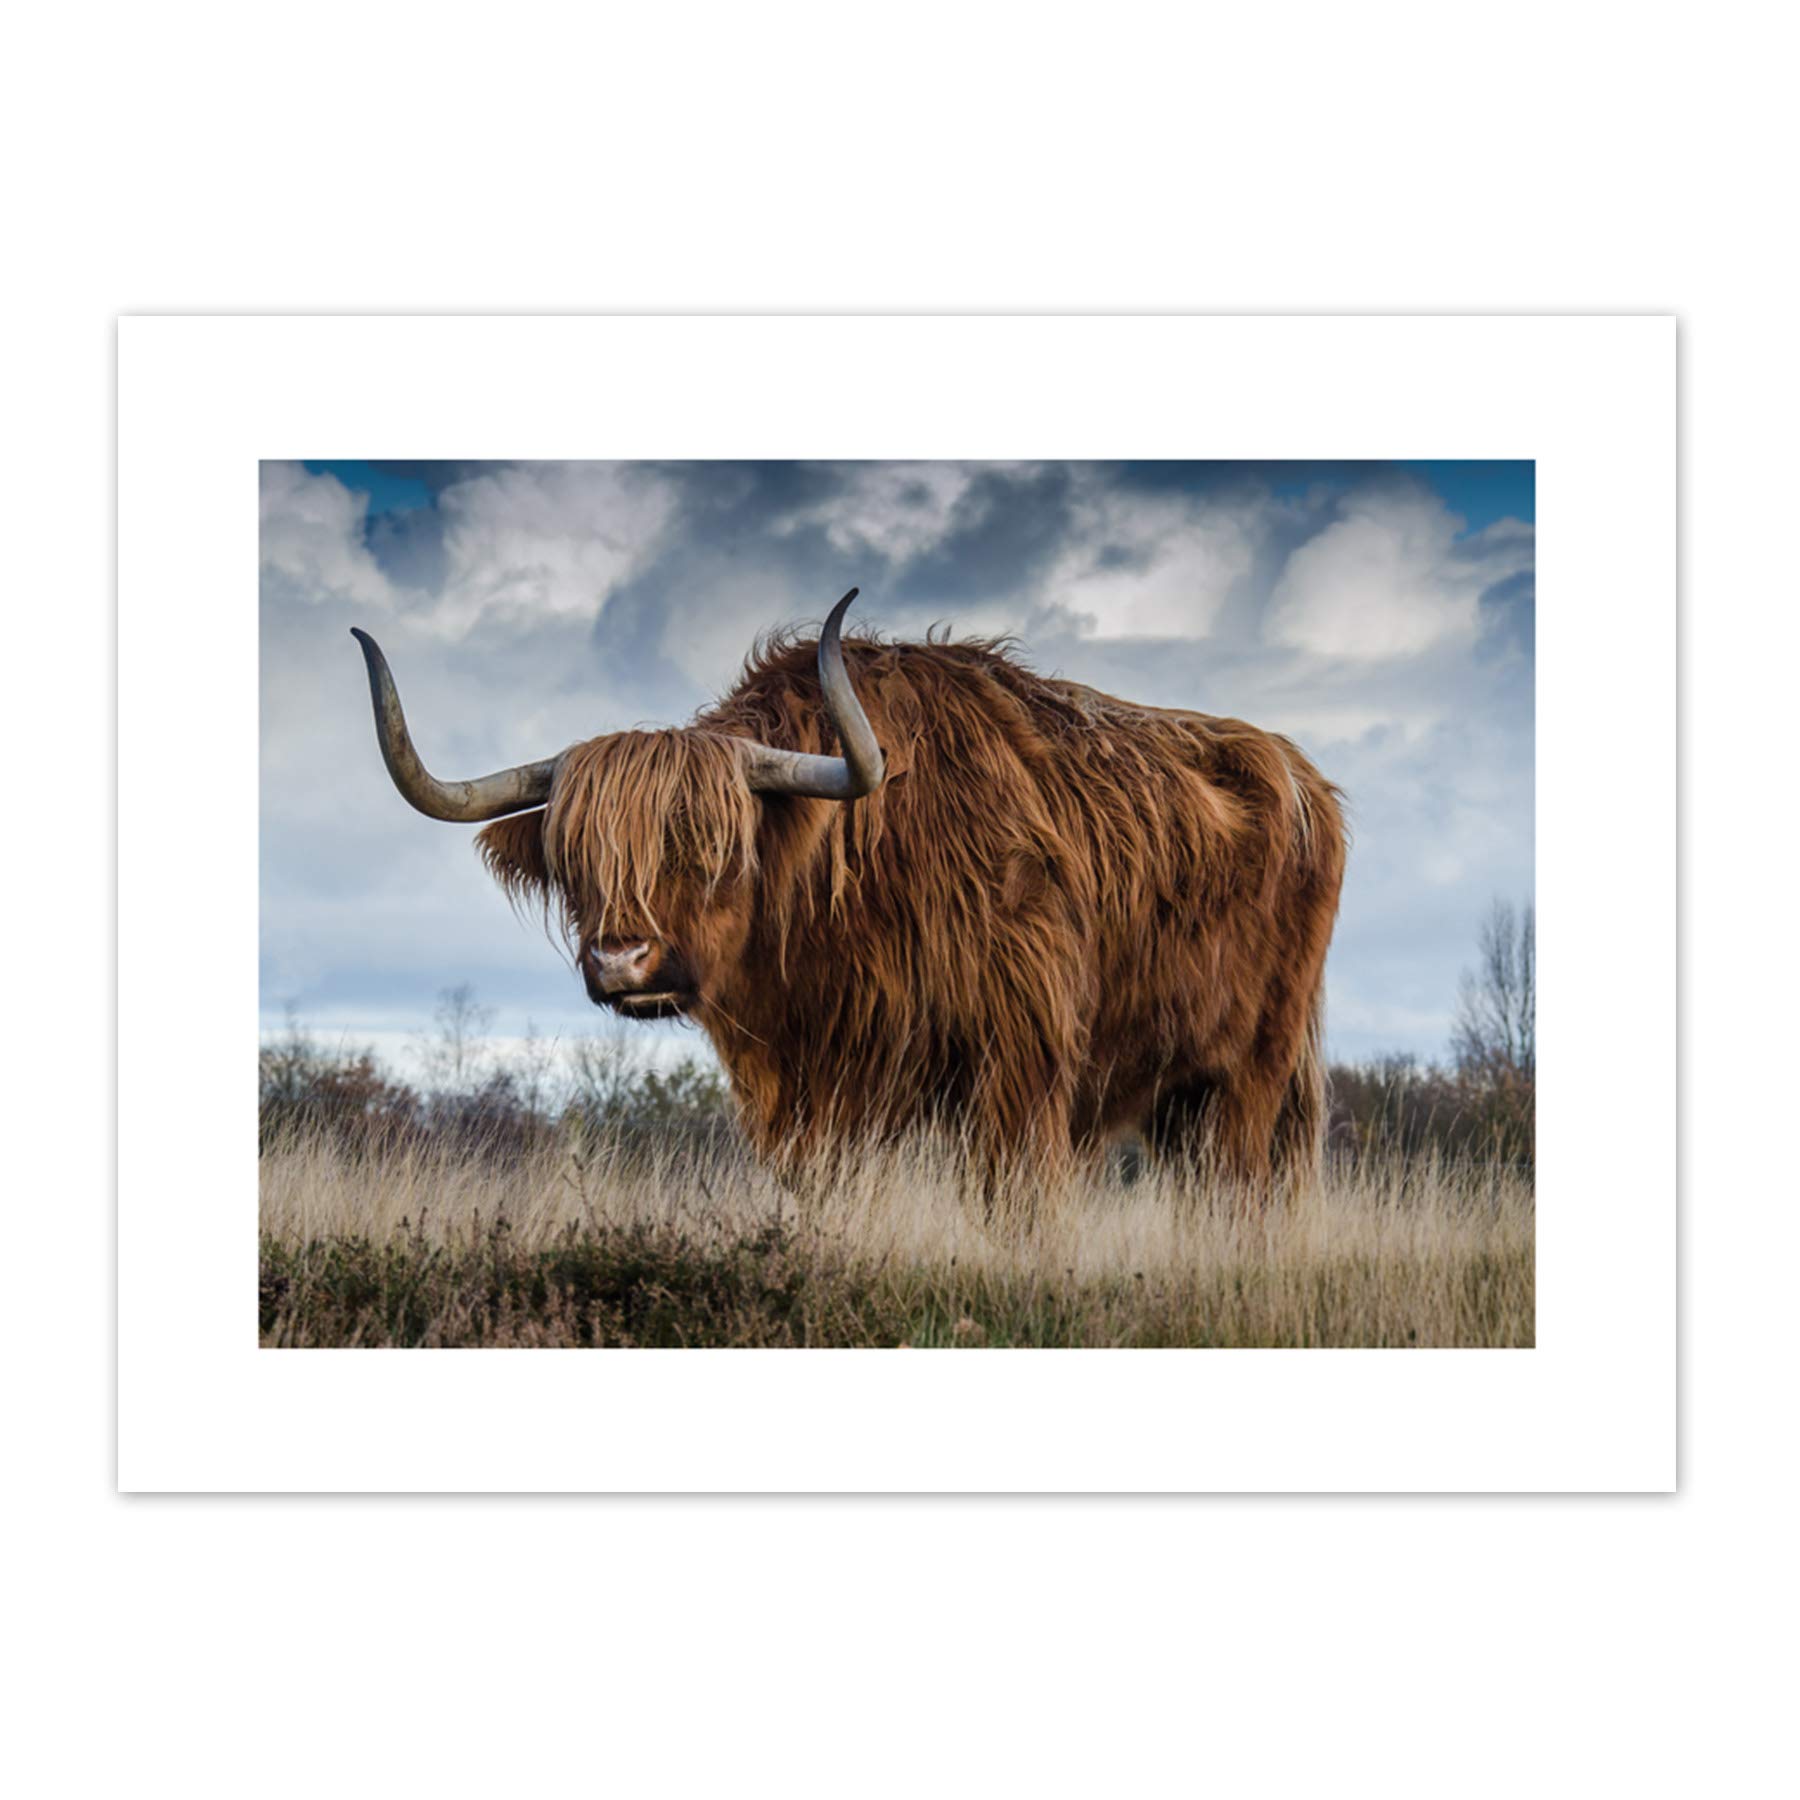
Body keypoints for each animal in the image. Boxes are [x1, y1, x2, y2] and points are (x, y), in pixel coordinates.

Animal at [352, 590, 1346, 1188]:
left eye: (715, 847)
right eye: (576, 859)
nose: (621, 961)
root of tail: (1302, 775)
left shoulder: (1021, 1063)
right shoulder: (813, 1093)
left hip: (1252, 1070)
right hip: (1183, 1092)